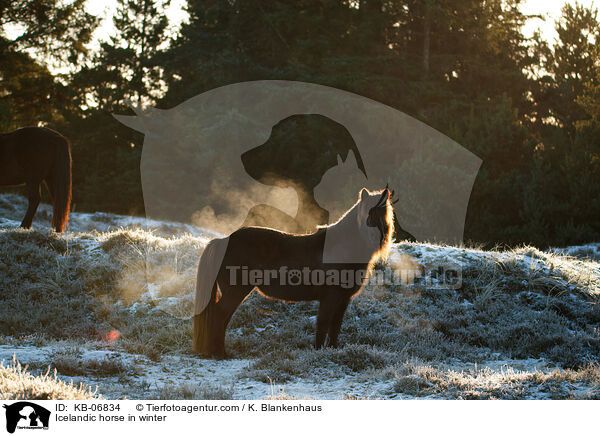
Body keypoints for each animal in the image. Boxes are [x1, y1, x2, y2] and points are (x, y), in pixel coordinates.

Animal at [192, 187, 394, 358]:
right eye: (366, 212)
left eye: (383, 213)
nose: (376, 237)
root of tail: (224, 240)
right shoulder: (330, 297)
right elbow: (323, 323)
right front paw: (318, 350)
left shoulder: (343, 299)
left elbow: (335, 326)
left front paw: (332, 350)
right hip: (235, 291)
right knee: (219, 316)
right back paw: (220, 354)